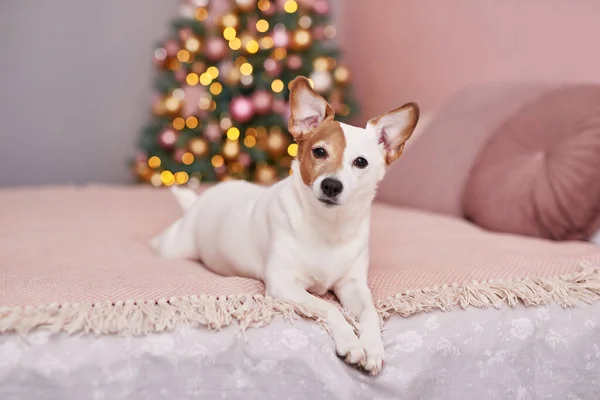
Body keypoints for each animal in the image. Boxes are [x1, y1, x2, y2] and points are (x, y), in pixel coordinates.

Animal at [152, 76, 420, 376]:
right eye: (319, 152)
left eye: (360, 162)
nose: (331, 185)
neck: (328, 227)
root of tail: (201, 200)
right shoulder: (284, 284)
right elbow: (329, 308)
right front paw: (351, 343)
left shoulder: (353, 286)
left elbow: (370, 313)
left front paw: (372, 347)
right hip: (174, 247)